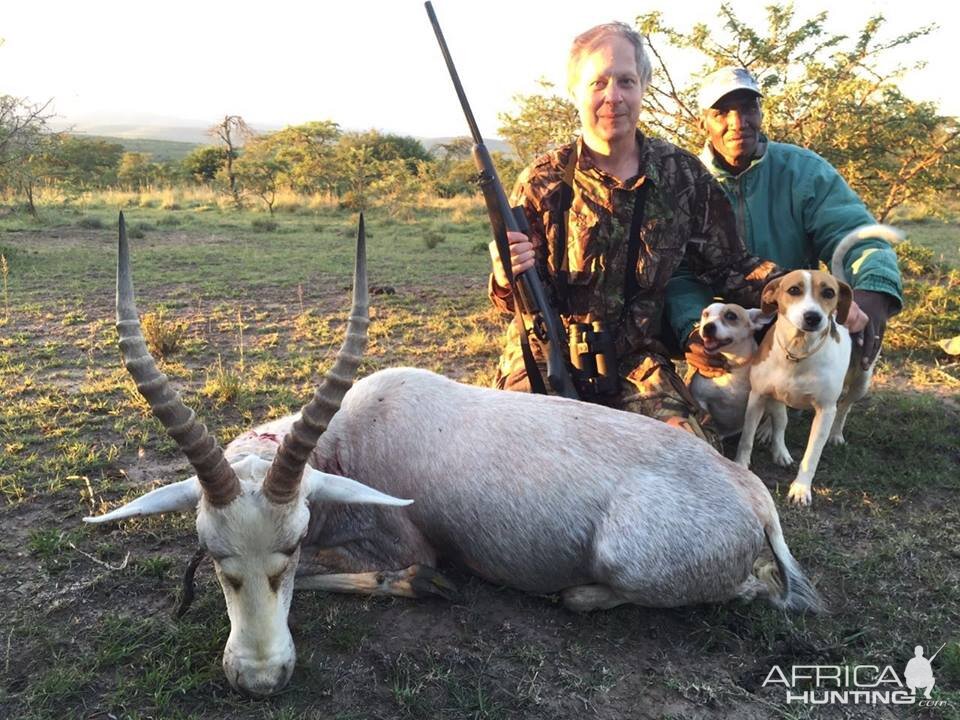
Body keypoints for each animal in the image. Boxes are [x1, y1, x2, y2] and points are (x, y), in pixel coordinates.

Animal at [90, 214, 820, 696]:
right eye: (213, 551)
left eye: (292, 544)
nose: (260, 676)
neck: (346, 437)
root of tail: (753, 496)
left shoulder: (400, 545)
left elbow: (399, 572)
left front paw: (425, 584)